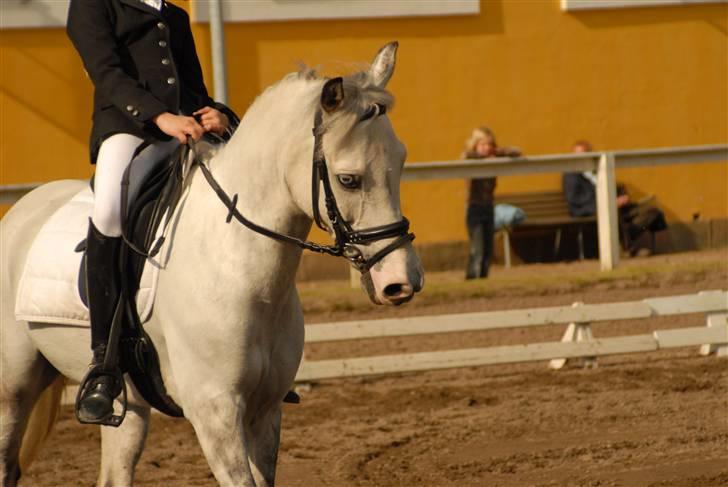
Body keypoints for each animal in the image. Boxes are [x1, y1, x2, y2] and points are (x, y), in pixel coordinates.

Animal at [0, 43, 424, 486]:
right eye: (348, 180)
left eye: (401, 161)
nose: (401, 281)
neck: (238, 267)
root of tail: (24, 208)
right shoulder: (215, 413)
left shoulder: (265, 411)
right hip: (13, 387)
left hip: (129, 406)